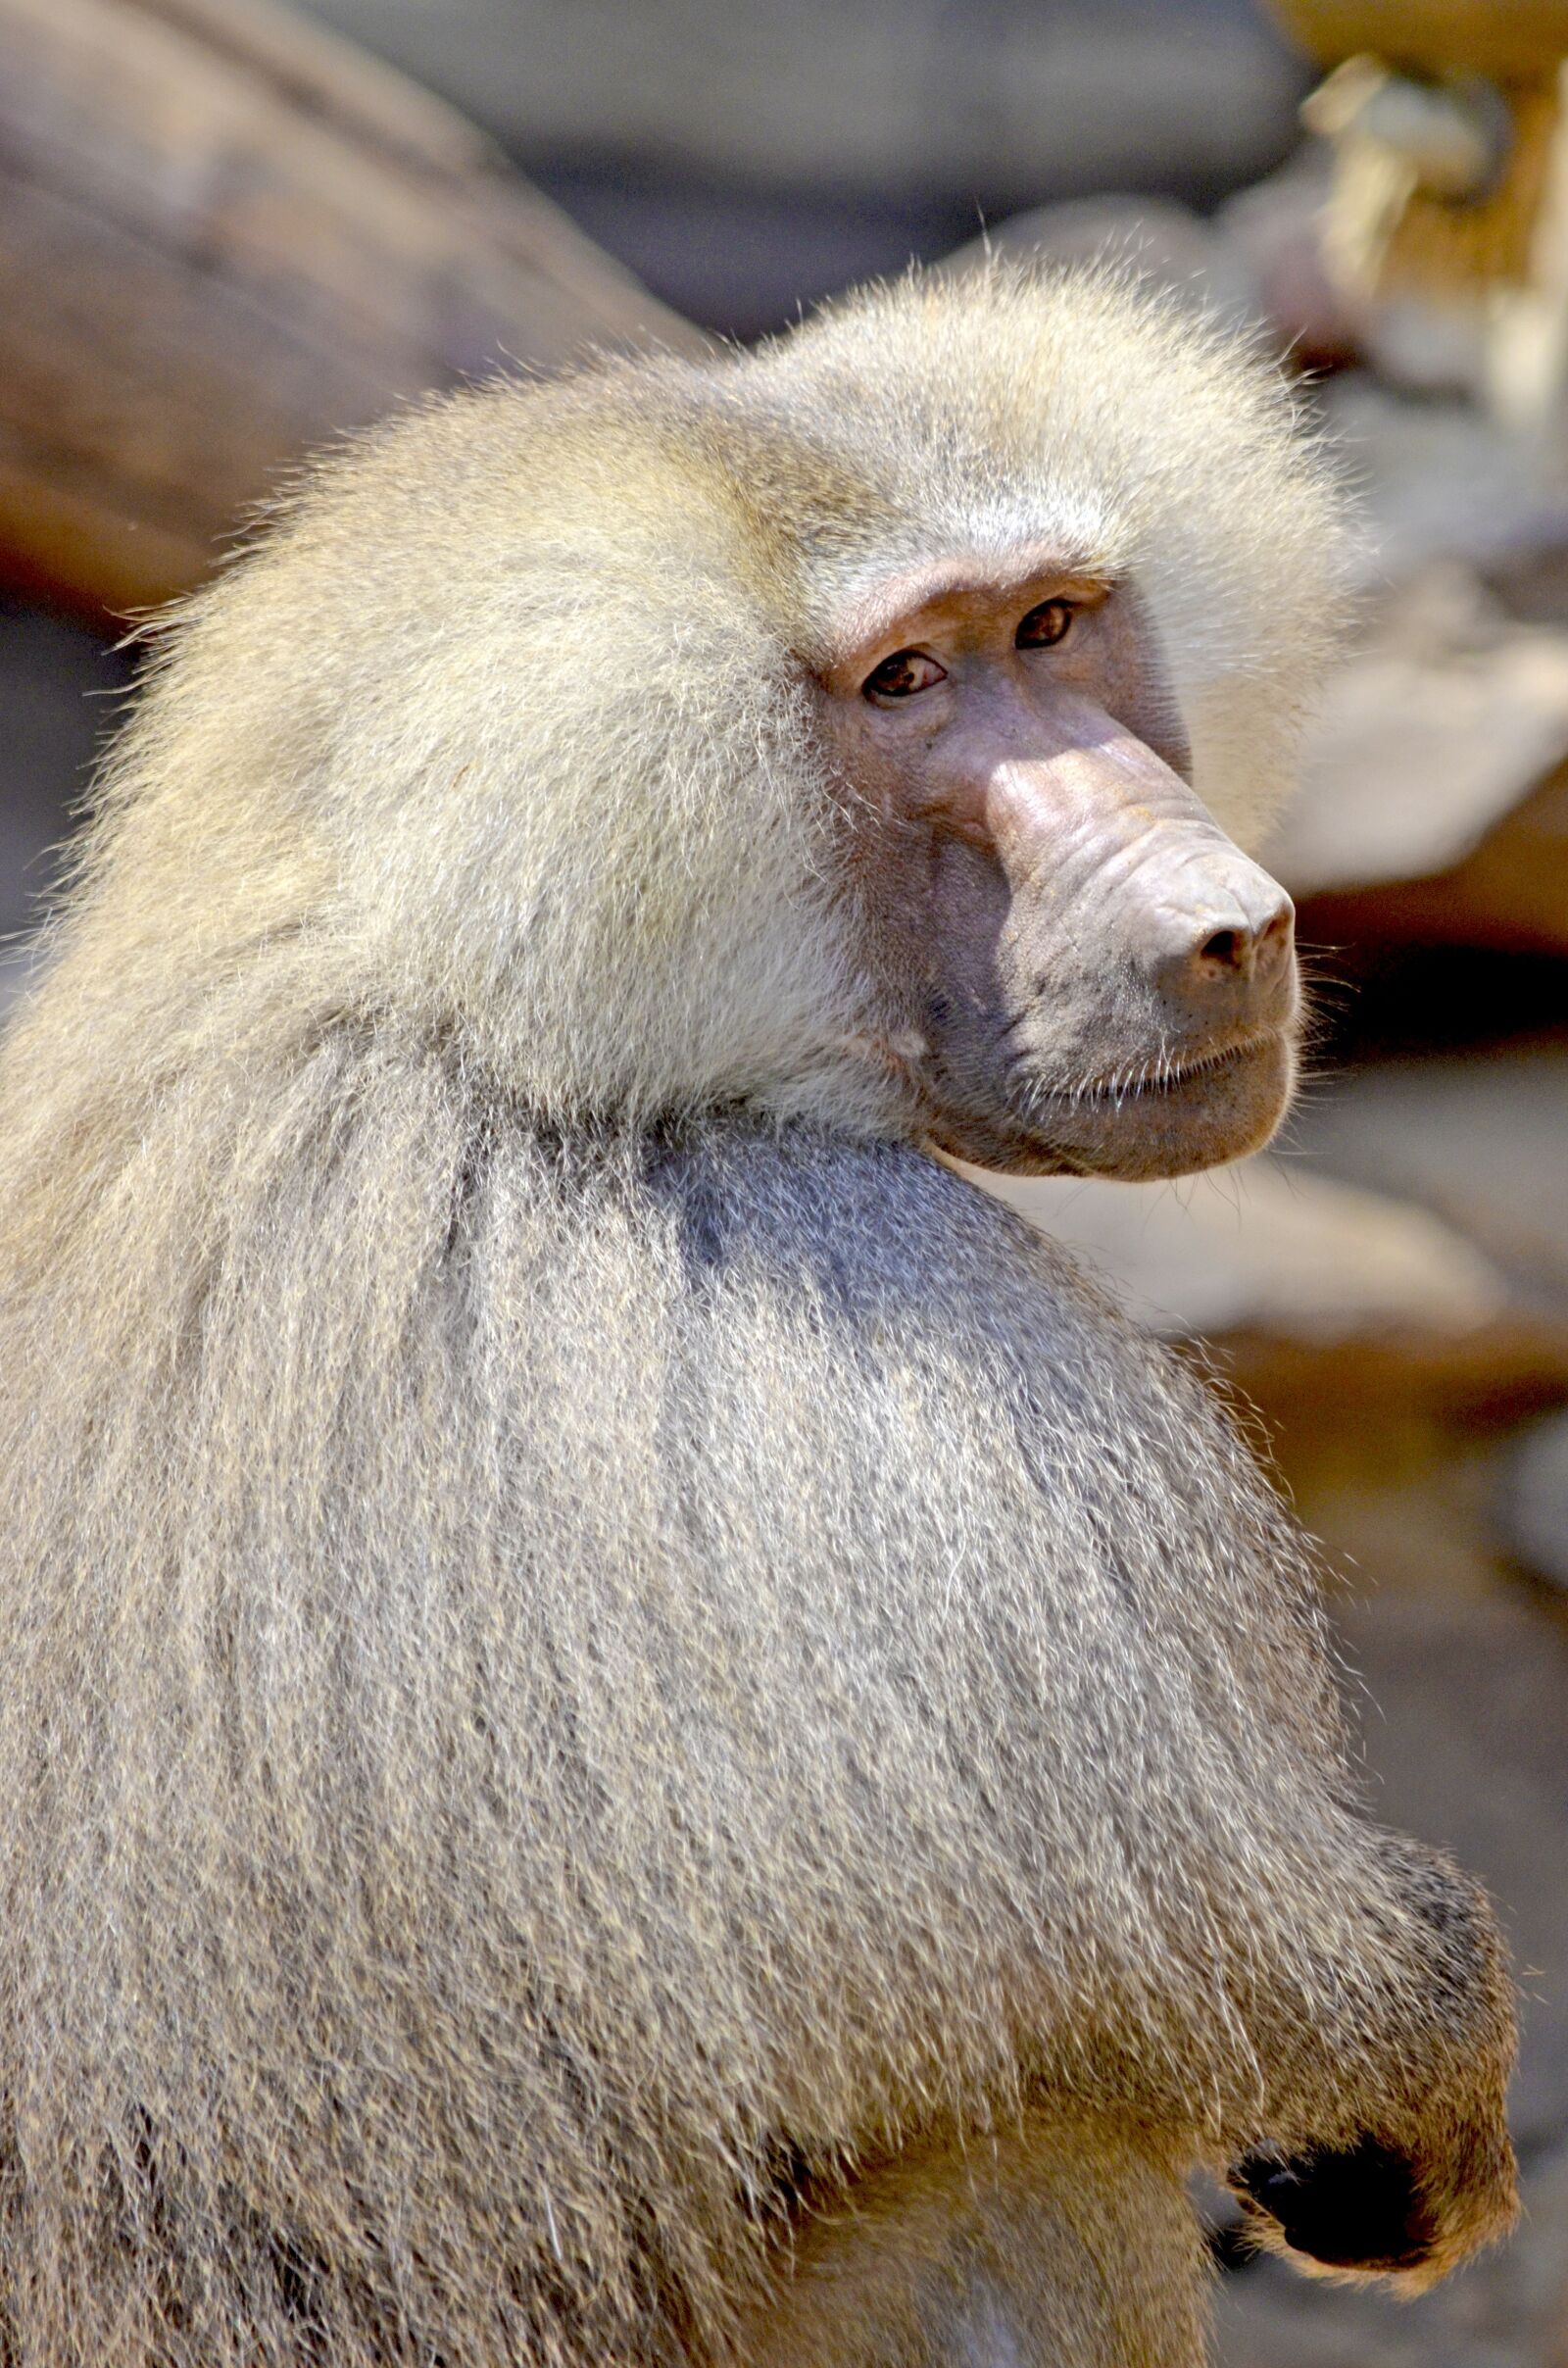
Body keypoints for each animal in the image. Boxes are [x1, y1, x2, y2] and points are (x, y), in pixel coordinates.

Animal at [0, 263, 1517, 2368]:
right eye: (906, 685)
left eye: (1054, 626)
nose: (1231, 930)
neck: (420, 956)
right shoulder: (896, 1330)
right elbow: (1218, 1961)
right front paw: (1427, 2064)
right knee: (1043, 2167)